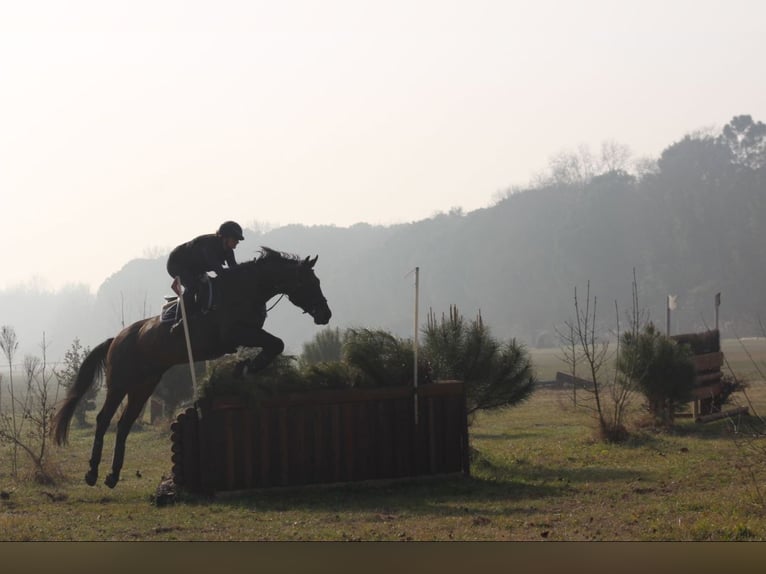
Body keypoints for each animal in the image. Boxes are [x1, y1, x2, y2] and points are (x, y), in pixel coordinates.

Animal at [50, 248, 332, 490]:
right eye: (309, 283)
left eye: (317, 281)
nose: (325, 314)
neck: (248, 288)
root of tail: (116, 338)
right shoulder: (233, 333)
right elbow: (275, 343)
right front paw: (247, 367)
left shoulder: (247, 334)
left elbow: (275, 344)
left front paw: (244, 368)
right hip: (120, 382)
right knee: (104, 419)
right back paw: (92, 473)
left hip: (144, 385)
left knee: (124, 423)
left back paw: (112, 475)